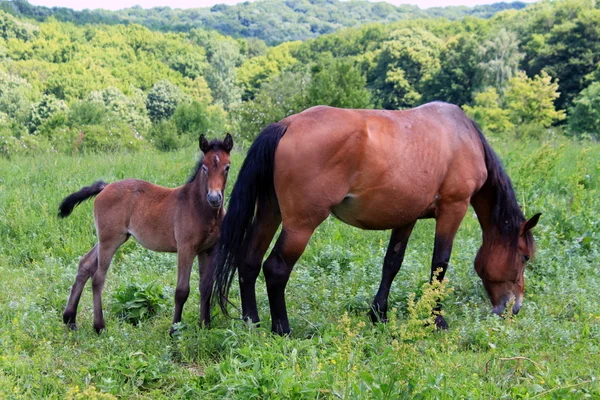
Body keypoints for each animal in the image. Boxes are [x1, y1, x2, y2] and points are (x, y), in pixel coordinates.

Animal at [58, 134, 232, 334]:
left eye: (227, 167)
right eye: (204, 167)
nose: (214, 198)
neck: (199, 207)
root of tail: (105, 186)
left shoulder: (208, 250)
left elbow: (206, 287)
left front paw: (205, 326)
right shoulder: (186, 248)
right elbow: (182, 291)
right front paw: (174, 330)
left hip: (111, 238)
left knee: (85, 264)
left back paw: (70, 319)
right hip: (110, 239)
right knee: (98, 277)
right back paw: (99, 326)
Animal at [213, 102, 540, 334]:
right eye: (524, 257)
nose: (513, 308)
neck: (462, 136)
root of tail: (285, 125)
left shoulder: (406, 215)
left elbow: (392, 263)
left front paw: (378, 314)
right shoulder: (453, 208)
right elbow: (439, 265)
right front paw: (437, 319)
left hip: (270, 213)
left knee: (249, 261)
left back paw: (252, 322)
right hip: (300, 224)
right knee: (276, 268)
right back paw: (282, 329)